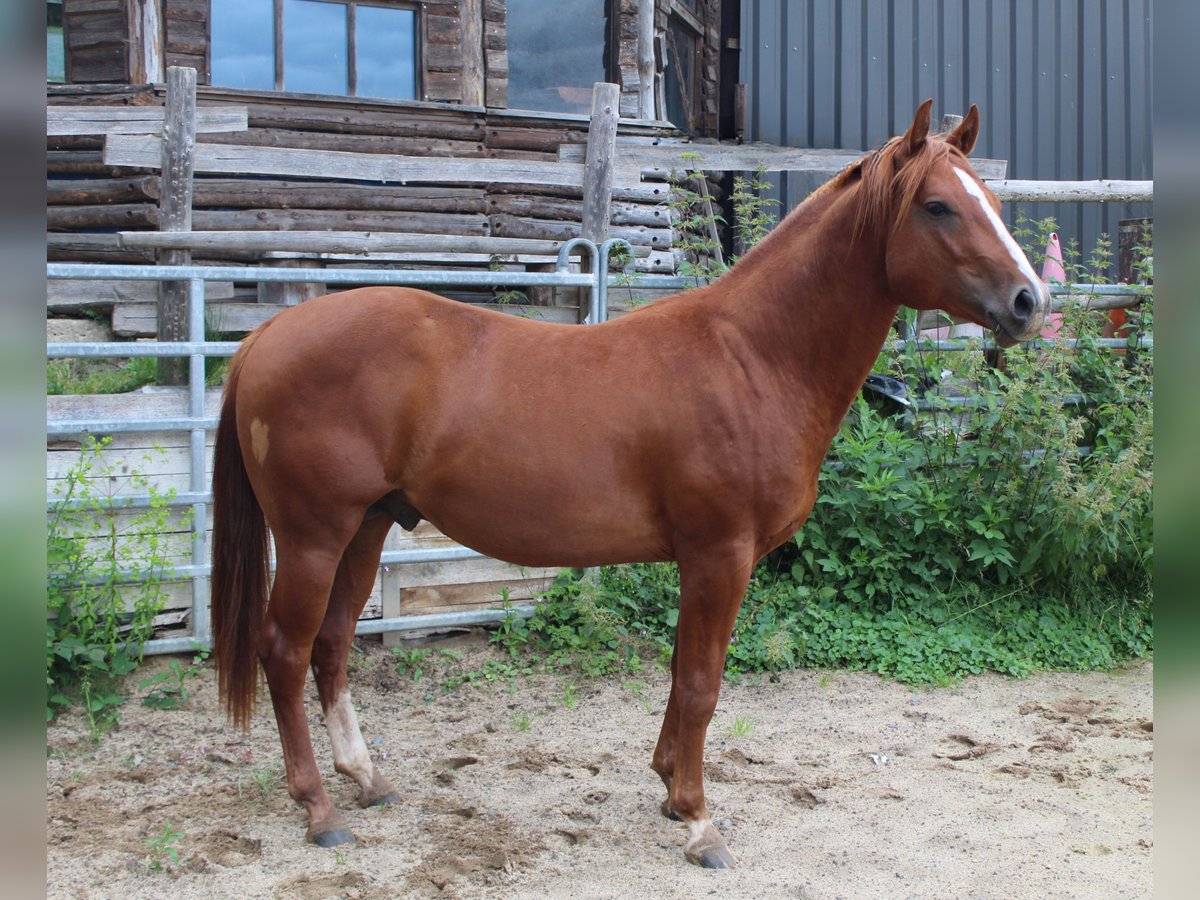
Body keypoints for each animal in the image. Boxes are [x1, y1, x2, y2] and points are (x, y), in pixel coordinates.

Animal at [211, 102, 1046, 868]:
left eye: (989, 200)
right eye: (937, 205)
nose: (1030, 302)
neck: (752, 357)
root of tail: (265, 338)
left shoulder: (700, 561)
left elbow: (680, 673)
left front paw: (670, 790)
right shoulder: (720, 555)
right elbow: (703, 682)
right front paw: (700, 820)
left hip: (366, 528)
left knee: (331, 646)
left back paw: (365, 779)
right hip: (315, 537)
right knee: (284, 651)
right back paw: (319, 808)